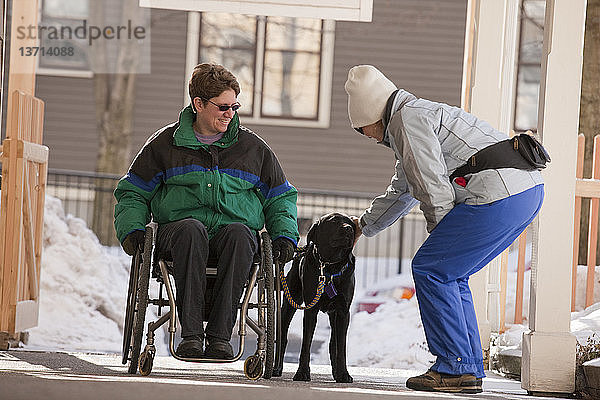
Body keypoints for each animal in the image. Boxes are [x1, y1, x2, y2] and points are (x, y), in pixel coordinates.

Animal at [272, 212, 356, 384]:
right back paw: (276, 368)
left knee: (333, 343)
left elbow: (341, 346)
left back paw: (336, 372)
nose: (349, 229)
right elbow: (306, 344)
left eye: (350, 222)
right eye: (333, 221)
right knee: (283, 337)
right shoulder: (311, 310)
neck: (331, 267)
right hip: (289, 304)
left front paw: (343, 374)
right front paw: (302, 373)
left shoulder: (343, 312)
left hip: (333, 314)